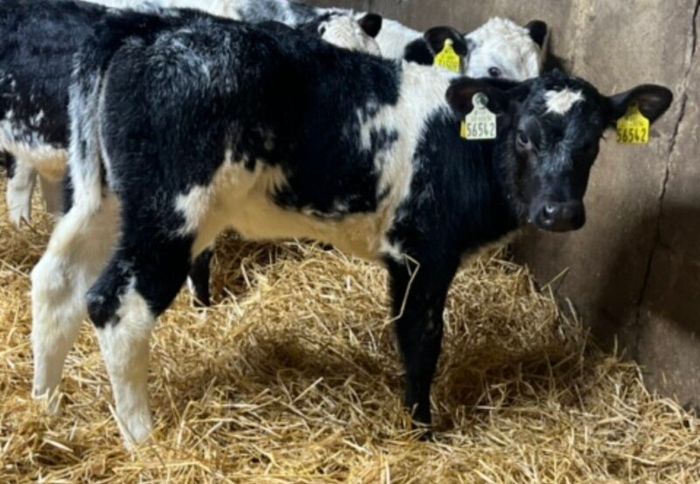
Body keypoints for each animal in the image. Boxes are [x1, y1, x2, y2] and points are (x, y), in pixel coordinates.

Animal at [29, 9, 672, 446]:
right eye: (524, 135)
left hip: (106, 200)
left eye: (592, 144)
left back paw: (47, 403)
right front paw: (423, 430)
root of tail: (147, 27)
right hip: (170, 214)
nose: (559, 213)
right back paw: (143, 438)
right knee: (116, 305)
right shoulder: (423, 252)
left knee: (55, 280)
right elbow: (422, 339)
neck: (464, 144)